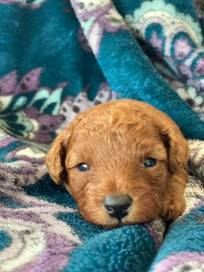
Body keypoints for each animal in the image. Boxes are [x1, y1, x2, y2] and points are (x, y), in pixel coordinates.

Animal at [45, 100, 188, 227]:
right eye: (82, 167)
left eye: (149, 163)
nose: (117, 206)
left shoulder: (180, 162)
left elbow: (178, 175)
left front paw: (171, 201)